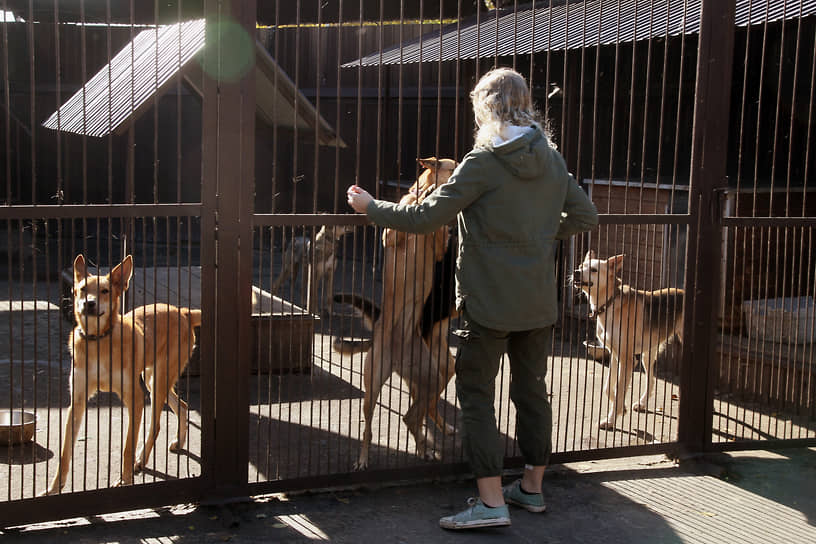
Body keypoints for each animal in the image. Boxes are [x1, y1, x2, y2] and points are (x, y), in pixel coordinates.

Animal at [47, 255, 202, 492]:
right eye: (82, 289)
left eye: (105, 291)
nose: (89, 303)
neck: (98, 341)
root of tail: (183, 311)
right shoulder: (77, 402)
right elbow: (65, 453)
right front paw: (54, 488)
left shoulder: (135, 399)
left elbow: (128, 446)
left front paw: (125, 480)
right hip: (152, 379)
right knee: (182, 406)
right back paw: (178, 442)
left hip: (159, 379)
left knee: (156, 425)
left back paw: (141, 460)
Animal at [334, 155, 460, 470]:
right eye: (454, 165)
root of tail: (397, 357)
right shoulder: (391, 237)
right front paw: (426, 195)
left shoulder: (438, 248)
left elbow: (438, 236)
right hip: (373, 385)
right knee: (368, 428)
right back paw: (363, 459)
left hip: (431, 374)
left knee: (413, 415)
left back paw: (425, 448)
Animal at [572, 251, 684, 430]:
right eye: (581, 266)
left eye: (594, 270)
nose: (576, 272)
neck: (609, 303)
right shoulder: (615, 355)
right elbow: (608, 387)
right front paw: (621, 408)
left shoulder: (627, 359)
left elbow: (618, 389)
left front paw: (611, 419)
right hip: (647, 354)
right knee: (651, 380)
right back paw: (642, 403)